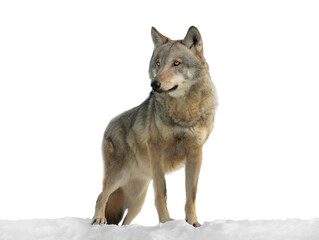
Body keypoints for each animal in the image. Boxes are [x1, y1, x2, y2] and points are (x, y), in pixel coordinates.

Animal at [91, 25, 219, 227]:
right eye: (158, 63)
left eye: (176, 63)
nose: (154, 84)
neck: (184, 111)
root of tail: (109, 125)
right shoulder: (156, 149)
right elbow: (162, 191)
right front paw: (166, 221)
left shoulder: (196, 153)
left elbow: (191, 195)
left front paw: (193, 223)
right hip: (118, 177)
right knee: (100, 196)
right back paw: (99, 219)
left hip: (137, 200)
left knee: (124, 220)